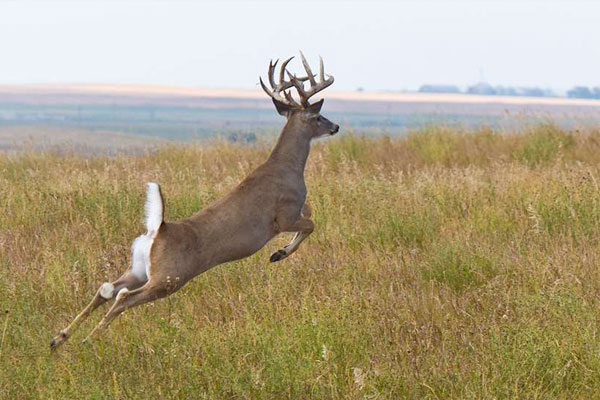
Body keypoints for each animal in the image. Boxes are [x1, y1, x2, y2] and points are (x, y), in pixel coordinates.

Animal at [49, 52, 340, 350]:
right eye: (318, 116)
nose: (336, 126)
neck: (287, 168)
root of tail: (158, 229)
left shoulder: (295, 210)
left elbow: (310, 214)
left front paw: (278, 252)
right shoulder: (284, 215)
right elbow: (311, 223)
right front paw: (278, 253)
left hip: (140, 269)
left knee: (105, 289)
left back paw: (58, 338)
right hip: (168, 278)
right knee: (122, 297)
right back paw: (86, 341)